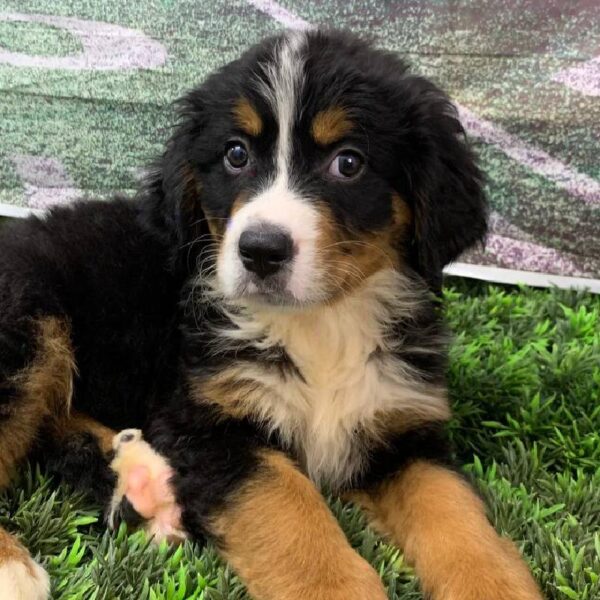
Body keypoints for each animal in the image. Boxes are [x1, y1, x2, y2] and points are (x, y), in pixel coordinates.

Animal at [0, 30, 540, 600]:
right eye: (235, 154)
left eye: (349, 162)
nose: (260, 250)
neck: (322, 324)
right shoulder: (209, 420)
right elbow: (289, 506)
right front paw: (337, 587)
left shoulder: (400, 425)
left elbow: (454, 510)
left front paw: (495, 584)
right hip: (30, 319)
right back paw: (16, 565)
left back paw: (142, 484)